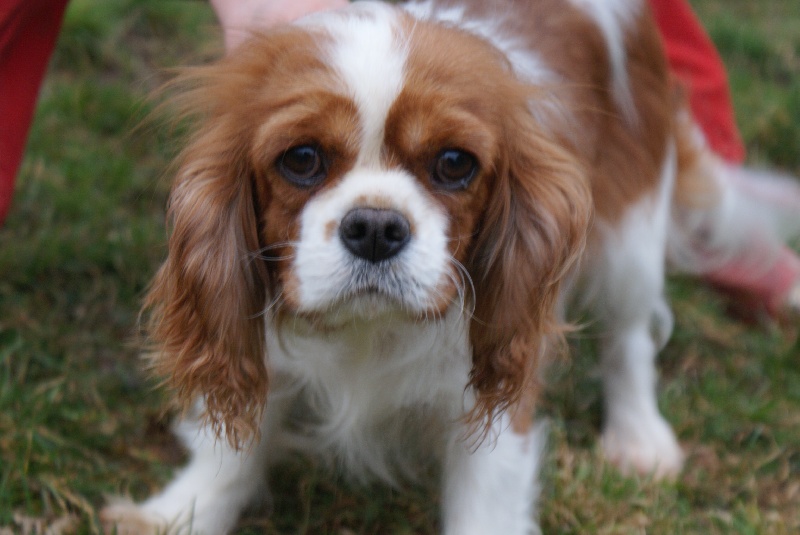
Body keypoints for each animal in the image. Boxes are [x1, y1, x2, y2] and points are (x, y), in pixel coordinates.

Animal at [100, 2, 792, 532]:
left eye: (455, 163)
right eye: (301, 158)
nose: (375, 228)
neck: (369, 332)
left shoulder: (495, 395)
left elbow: (485, 502)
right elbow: (231, 454)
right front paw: (176, 514)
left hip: (630, 234)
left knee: (628, 338)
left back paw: (638, 437)